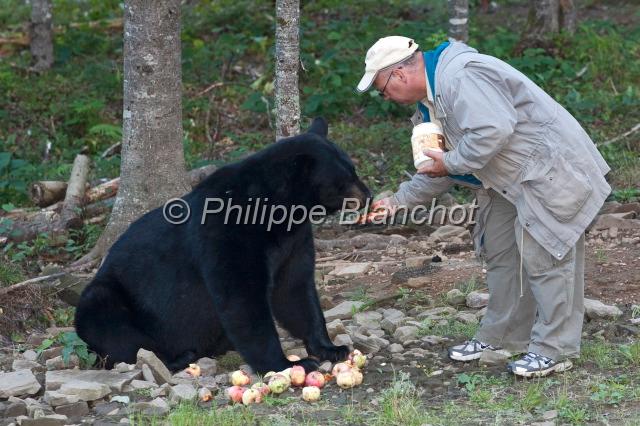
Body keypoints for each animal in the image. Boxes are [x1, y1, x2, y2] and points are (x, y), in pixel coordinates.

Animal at [74, 117, 371, 374]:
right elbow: (242, 298)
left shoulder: (293, 240)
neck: (277, 209)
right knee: (114, 329)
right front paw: (286, 364)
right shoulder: (226, 235)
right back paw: (176, 357)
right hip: (107, 300)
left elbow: (295, 289)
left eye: (353, 168)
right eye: (345, 178)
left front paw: (331, 348)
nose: (368, 195)